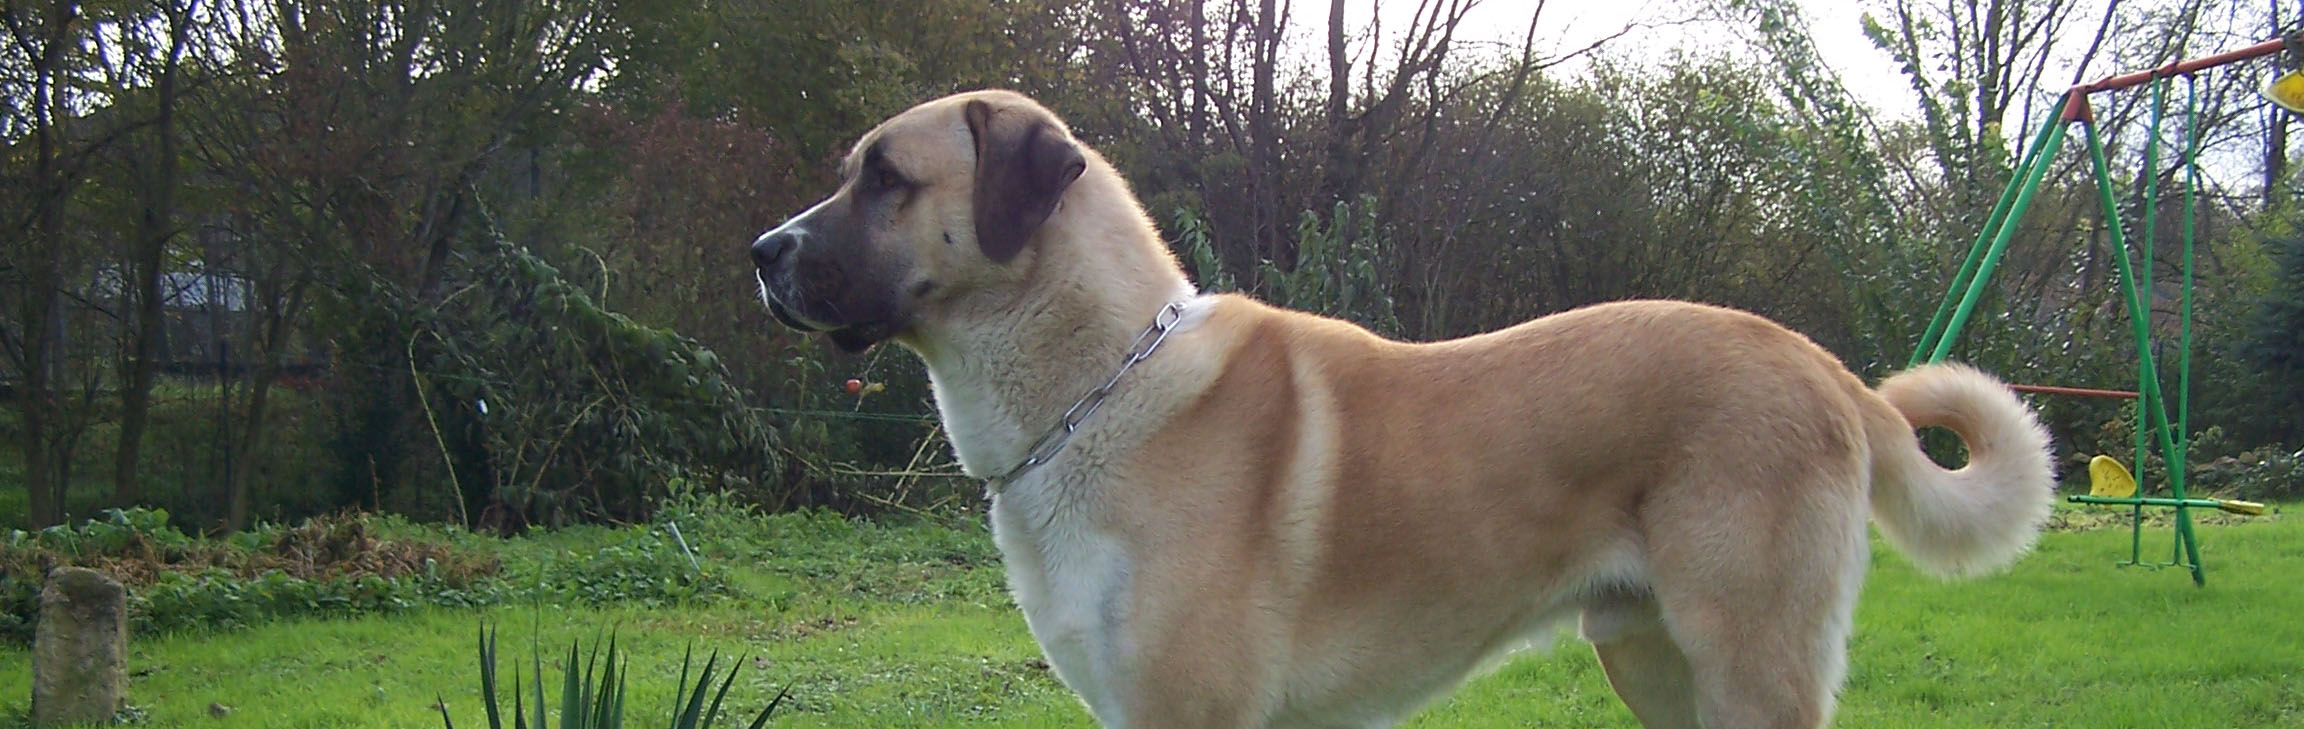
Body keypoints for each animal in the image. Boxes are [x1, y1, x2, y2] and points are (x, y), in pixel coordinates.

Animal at [751, 91, 2055, 729]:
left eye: (885, 178)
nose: (761, 252)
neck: (1100, 384)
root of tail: (1821, 363)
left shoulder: (1191, 712)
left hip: (1747, 660)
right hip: (1656, 661)